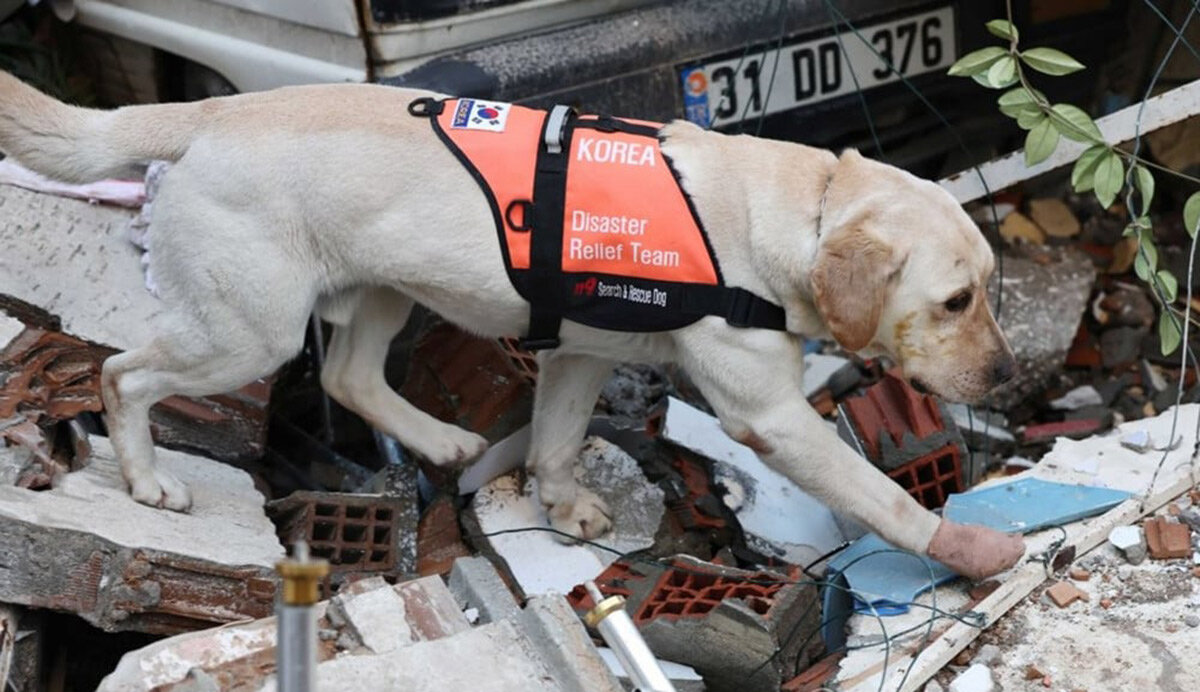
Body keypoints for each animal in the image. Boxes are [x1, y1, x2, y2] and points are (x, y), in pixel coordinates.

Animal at [0, 74, 1027, 578]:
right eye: (954, 301)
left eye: (987, 288)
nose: (1008, 380)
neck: (801, 211)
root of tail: (210, 112)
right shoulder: (770, 418)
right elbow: (882, 498)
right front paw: (967, 550)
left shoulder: (577, 351)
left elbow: (560, 442)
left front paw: (560, 504)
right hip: (246, 333)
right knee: (125, 374)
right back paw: (147, 480)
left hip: (381, 290)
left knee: (346, 377)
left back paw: (446, 443)